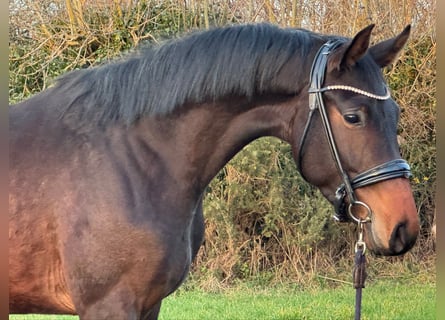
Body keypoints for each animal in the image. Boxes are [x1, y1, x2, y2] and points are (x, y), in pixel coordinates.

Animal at [10, 23, 418, 318]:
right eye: (353, 117)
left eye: (395, 114)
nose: (403, 227)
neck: (131, 159)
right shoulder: (109, 305)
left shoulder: (148, 304)